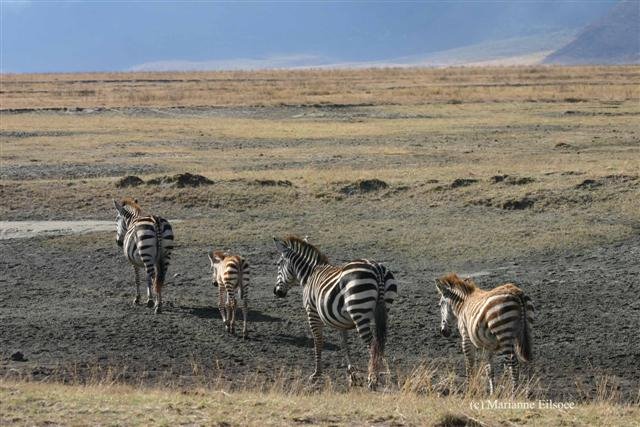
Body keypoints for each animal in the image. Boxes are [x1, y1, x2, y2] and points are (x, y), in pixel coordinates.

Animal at [270, 236, 396, 390]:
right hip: (383, 310)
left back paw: (373, 379)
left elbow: (318, 341)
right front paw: (352, 375)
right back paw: (383, 374)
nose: (276, 292)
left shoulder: (312, 313)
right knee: (380, 343)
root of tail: (377, 268)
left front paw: (316, 374)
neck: (309, 275)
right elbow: (344, 344)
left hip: (359, 312)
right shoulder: (341, 321)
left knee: (373, 345)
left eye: (278, 264)